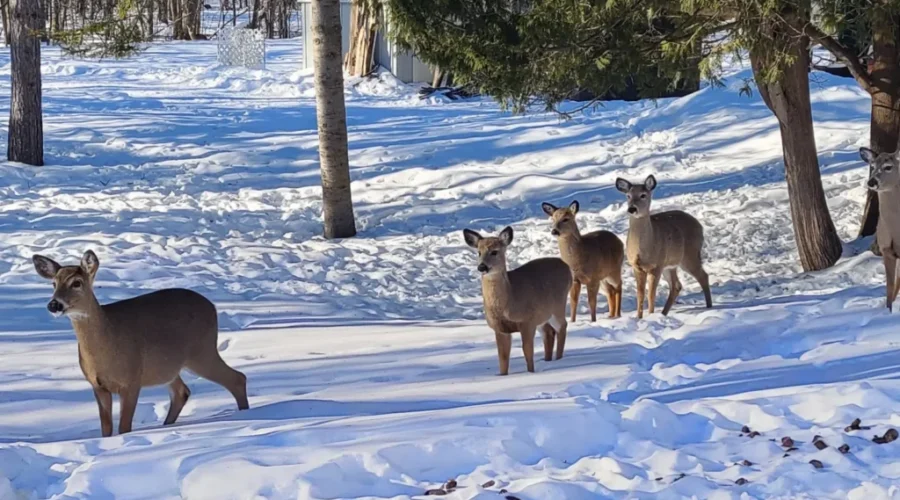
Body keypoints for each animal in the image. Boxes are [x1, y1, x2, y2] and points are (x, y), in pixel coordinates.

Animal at [32, 250, 249, 437]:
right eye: (53, 284)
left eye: (77, 283)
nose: (54, 304)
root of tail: (212, 307)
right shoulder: (97, 385)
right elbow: (106, 429)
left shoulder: (132, 379)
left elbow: (124, 427)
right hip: (170, 365)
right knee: (182, 392)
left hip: (202, 351)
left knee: (237, 378)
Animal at [463, 226, 572, 375]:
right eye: (478, 252)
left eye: (494, 251)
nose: (482, 267)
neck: (509, 300)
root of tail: (567, 268)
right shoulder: (500, 328)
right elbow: (503, 357)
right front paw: (503, 376)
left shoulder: (527, 321)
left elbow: (527, 352)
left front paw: (531, 373)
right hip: (542, 316)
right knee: (549, 332)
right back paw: (548, 360)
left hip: (558, 306)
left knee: (562, 326)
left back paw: (559, 359)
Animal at [615, 175, 712, 318]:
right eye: (628, 195)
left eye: (643, 195)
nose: (632, 209)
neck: (643, 249)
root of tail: (699, 225)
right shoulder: (636, 266)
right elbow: (640, 294)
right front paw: (639, 317)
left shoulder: (656, 265)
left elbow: (651, 294)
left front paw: (650, 315)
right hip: (670, 264)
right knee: (677, 285)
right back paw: (664, 313)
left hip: (689, 255)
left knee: (703, 276)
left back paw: (709, 307)